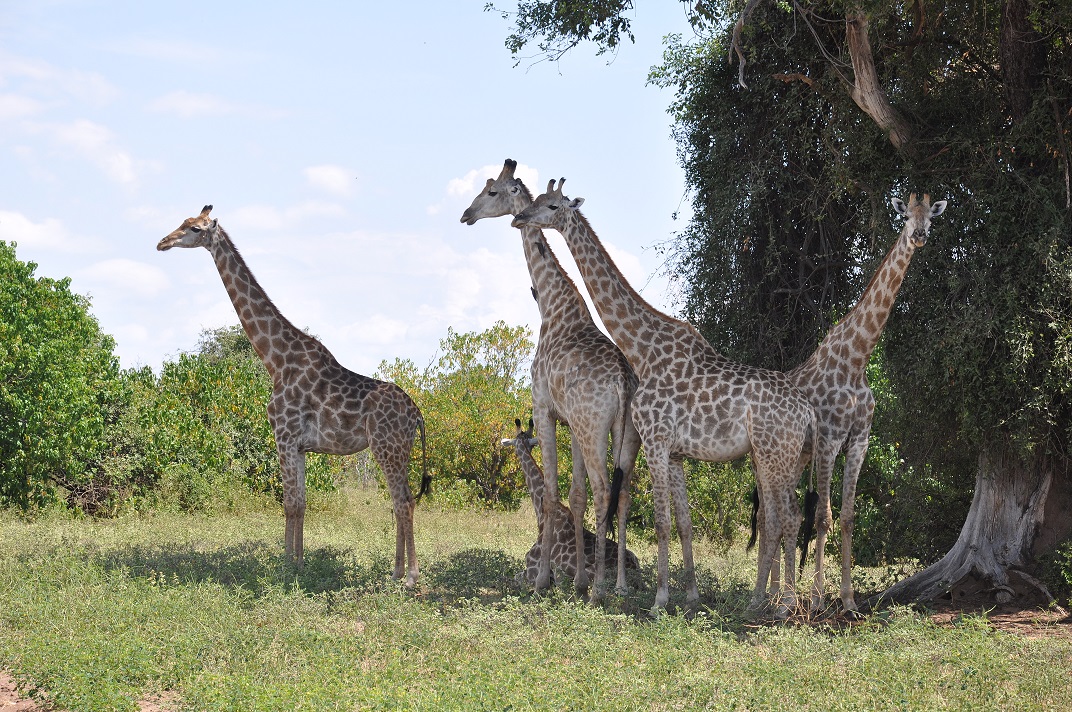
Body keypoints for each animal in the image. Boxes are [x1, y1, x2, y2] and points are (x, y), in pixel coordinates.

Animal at [158, 205, 431, 584]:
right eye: (182, 222)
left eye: (195, 229)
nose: (162, 242)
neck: (275, 360)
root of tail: (417, 415)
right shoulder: (299, 444)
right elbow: (300, 503)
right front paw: (298, 563)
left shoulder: (284, 435)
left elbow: (290, 503)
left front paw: (287, 566)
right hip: (398, 449)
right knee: (402, 500)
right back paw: (395, 571)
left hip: (386, 446)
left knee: (402, 500)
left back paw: (409, 577)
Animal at [779, 192, 947, 613]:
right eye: (905, 216)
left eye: (930, 218)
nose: (919, 236)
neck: (857, 360)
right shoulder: (828, 439)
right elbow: (822, 517)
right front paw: (818, 601)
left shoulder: (859, 441)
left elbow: (848, 517)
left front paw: (848, 600)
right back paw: (782, 597)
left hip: (799, 456)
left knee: (781, 511)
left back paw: (781, 593)